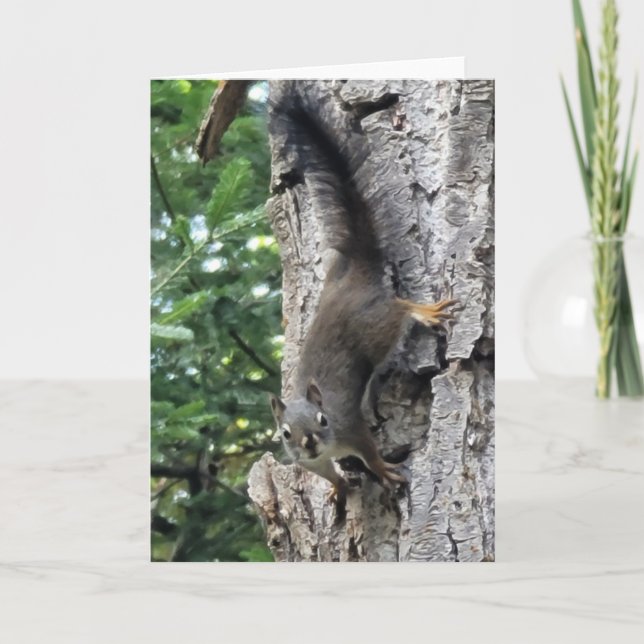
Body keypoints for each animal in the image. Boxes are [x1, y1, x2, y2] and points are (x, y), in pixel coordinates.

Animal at [269, 83, 454, 504]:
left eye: (323, 420)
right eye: (285, 434)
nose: (310, 443)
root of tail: (354, 274)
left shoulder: (350, 427)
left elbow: (368, 452)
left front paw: (383, 470)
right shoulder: (312, 464)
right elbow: (326, 474)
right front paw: (337, 487)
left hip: (376, 328)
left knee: (399, 308)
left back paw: (422, 312)